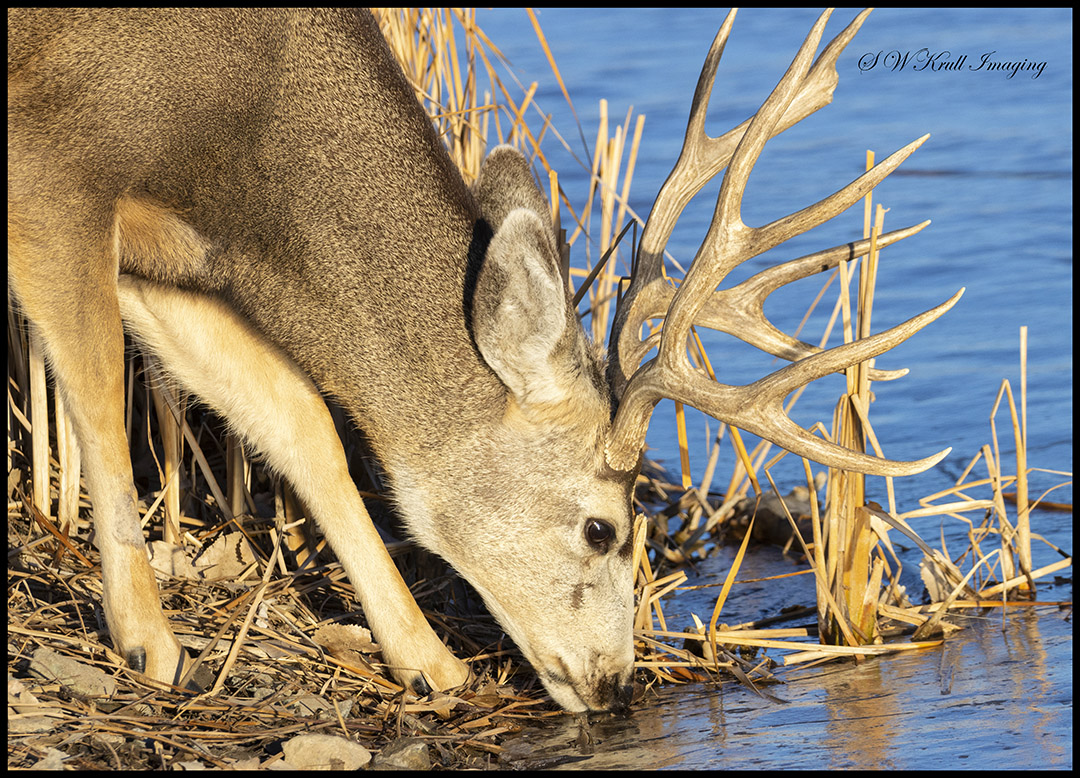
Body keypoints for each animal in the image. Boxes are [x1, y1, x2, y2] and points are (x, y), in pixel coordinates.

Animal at [7, 8, 961, 713]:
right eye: (602, 528)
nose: (614, 684)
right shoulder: (55, 166)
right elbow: (98, 394)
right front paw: (152, 643)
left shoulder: (166, 256)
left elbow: (299, 419)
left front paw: (429, 662)